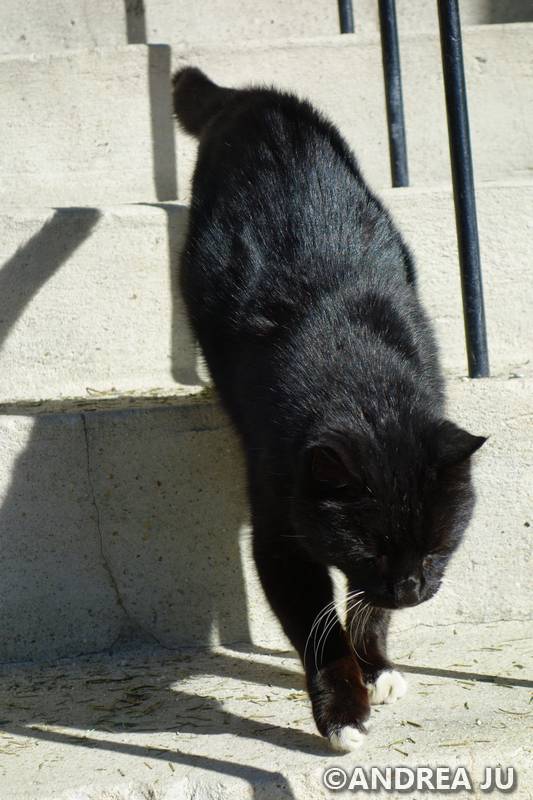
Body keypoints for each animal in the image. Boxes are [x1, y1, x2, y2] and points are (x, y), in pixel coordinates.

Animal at [172, 66, 486, 751]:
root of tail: (256, 98)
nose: (412, 590)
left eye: (435, 549)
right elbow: (318, 627)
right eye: (375, 551)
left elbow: (365, 611)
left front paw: (378, 665)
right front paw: (343, 708)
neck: (359, 375)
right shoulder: (279, 523)